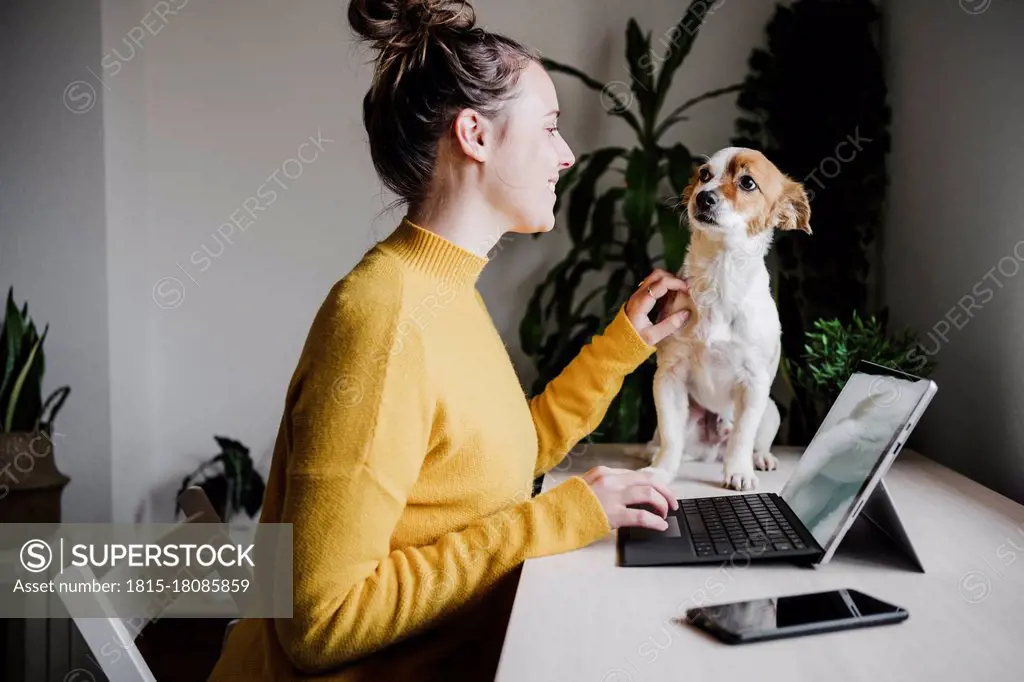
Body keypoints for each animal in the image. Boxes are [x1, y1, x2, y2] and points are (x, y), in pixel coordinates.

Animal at [634, 148, 811, 489]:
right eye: (704, 174)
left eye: (747, 182)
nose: (704, 197)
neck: (719, 276)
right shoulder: (669, 378)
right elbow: (671, 438)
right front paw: (660, 472)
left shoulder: (754, 384)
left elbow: (742, 437)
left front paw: (739, 472)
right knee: (671, 441)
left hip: (771, 412)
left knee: (751, 441)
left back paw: (760, 459)